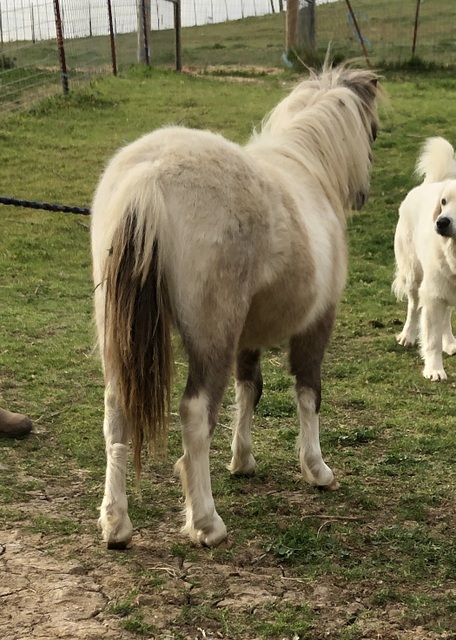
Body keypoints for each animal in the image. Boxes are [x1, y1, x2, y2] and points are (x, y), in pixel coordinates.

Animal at [91, 64, 380, 549]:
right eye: (373, 131)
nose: (362, 195)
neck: (309, 171)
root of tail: (150, 177)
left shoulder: (248, 335)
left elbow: (250, 388)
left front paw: (242, 460)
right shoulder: (317, 323)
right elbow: (308, 392)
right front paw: (317, 470)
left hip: (120, 341)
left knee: (117, 414)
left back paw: (116, 524)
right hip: (212, 340)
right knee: (194, 415)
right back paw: (207, 523)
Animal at [393, 136, 456, 381]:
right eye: (444, 202)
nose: (441, 222)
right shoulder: (432, 296)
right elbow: (431, 340)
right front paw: (434, 370)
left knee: (447, 315)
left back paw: (450, 342)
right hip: (415, 277)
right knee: (413, 308)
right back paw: (407, 336)